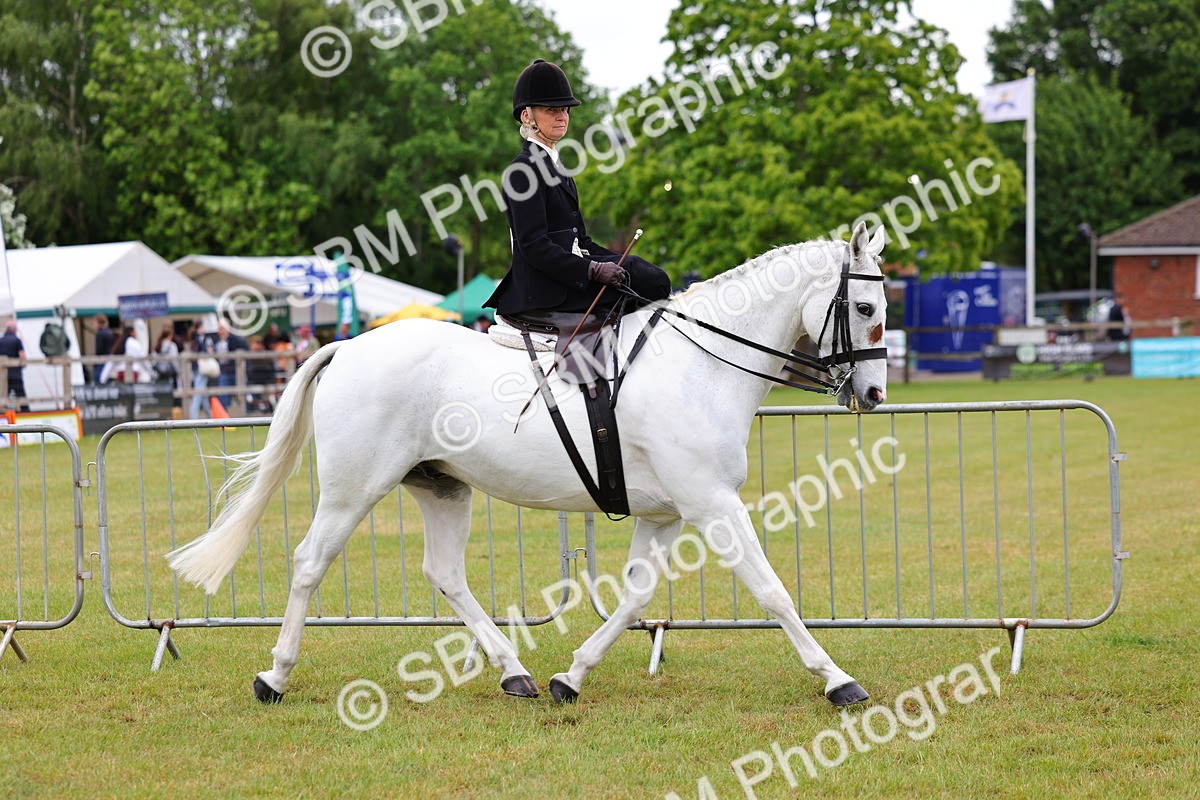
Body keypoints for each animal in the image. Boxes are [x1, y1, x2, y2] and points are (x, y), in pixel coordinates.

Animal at [167, 221, 889, 707]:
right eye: (864, 307)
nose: (875, 396)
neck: (700, 363)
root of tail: (348, 347)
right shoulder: (711, 503)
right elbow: (772, 590)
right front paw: (839, 680)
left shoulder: (667, 513)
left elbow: (634, 598)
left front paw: (571, 676)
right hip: (353, 491)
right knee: (310, 564)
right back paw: (274, 675)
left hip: (442, 488)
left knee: (445, 573)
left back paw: (515, 673)